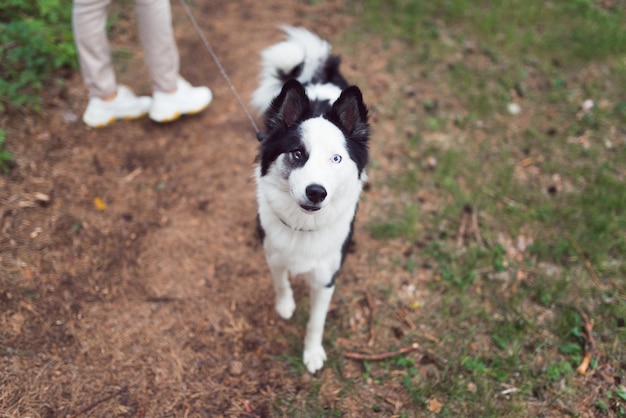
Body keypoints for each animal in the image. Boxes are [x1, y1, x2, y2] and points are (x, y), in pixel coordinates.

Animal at [251, 26, 368, 372]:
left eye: (336, 159)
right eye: (297, 153)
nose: (316, 192)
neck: (304, 226)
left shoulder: (326, 278)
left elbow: (316, 322)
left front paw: (313, 353)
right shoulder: (273, 255)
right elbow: (280, 283)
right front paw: (285, 305)